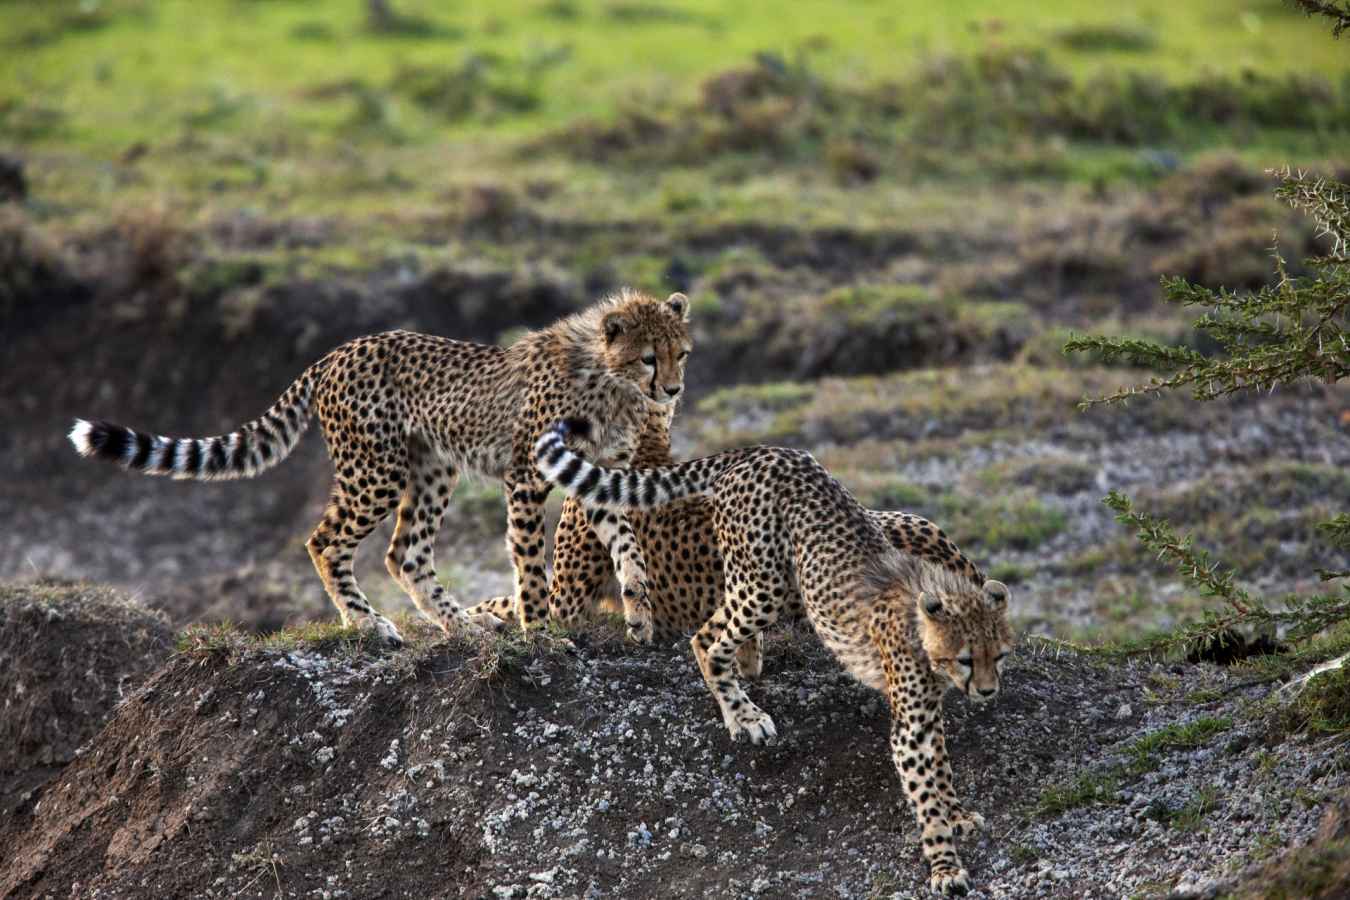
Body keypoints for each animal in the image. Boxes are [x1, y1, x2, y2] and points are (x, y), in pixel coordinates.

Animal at [67, 289, 693, 648]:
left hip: (432, 468)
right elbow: (530, 566)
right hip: (377, 471)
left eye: (680, 353)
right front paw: (540, 633)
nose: (674, 389)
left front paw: (639, 614)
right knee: (325, 542)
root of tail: (336, 352)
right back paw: (368, 624)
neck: (607, 377)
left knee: (405, 554)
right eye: (648, 358)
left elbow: (628, 548)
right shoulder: (527, 476)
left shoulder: (600, 477)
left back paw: (462, 625)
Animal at [534, 419, 1014, 897]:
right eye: (966, 658)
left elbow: (941, 769)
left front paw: (958, 816)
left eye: (1000, 655)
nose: (989, 692)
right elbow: (925, 792)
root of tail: (764, 451)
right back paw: (743, 715)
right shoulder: (910, 727)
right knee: (706, 640)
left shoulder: (928, 712)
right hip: (764, 583)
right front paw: (945, 866)